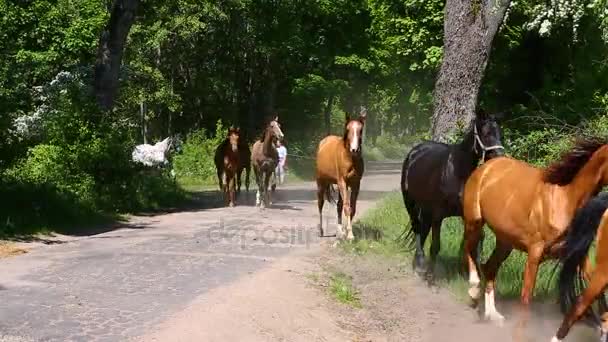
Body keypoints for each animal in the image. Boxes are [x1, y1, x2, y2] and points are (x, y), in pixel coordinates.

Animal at [316, 109, 368, 240]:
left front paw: (347, 232)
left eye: (360, 130)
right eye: (348, 129)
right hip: (321, 182)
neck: (350, 159)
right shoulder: (342, 182)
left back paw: (339, 231)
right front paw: (349, 235)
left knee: (339, 205)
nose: (355, 150)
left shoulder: (355, 184)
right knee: (320, 203)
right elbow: (346, 207)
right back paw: (320, 230)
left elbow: (351, 208)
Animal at [402, 109, 506, 280]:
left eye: (499, 133)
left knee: (423, 229)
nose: (500, 157)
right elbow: (435, 246)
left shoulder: (467, 214)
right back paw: (420, 262)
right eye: (486, 133)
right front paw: (431, 276)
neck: (457, 171)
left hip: (425, 208)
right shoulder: (438, 215)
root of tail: (415, 151)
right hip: (410, 203)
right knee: (417, 227)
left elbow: (475, 242)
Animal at [460, 137, 608, 326]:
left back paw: (494, 315)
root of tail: (487, 166)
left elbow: (595, 290)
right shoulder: (534, 253)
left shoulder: (576, 254)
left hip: (505, 243)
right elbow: (526, 299)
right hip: (474, 222)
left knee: (489, 268)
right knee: (468, 249)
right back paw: (473, 291)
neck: (565, 200)